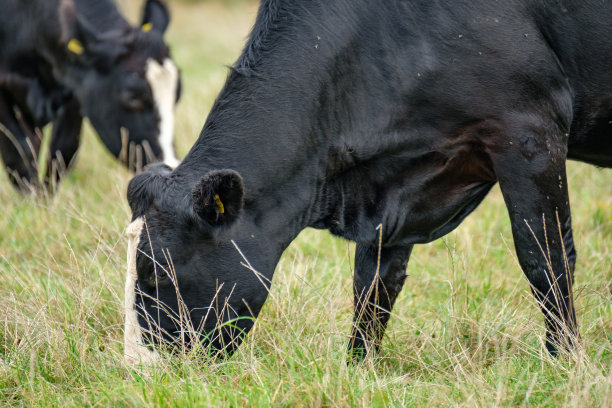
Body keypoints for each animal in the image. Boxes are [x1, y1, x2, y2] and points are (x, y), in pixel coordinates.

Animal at [0, 0, 180, 192]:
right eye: (133, 98)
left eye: (178, 94)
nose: (171, 164)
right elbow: (18, 151)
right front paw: (33, 196)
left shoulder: (74, 89)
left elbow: (64, 150)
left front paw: (47, 196)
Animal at [125, 0, 612, 364]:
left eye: (155, 270)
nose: (143, 365)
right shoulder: (395, 193)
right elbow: (374, 281)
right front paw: (359, 364)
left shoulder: (528, 131)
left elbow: (545, 257)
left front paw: (565, 360)